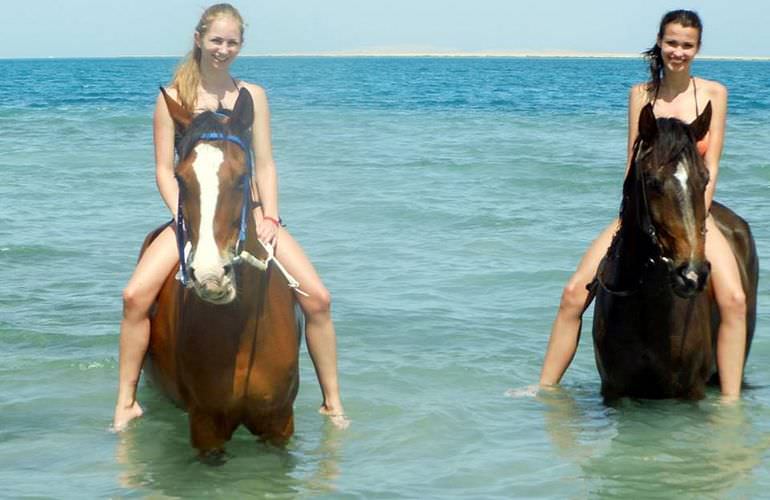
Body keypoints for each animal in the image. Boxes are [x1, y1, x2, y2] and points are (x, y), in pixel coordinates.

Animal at [139, 89, 300, 454]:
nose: (211, 276)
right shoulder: (206, 426)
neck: (242, 325)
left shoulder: (279, 421)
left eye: (241, 179)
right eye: (180, 179)